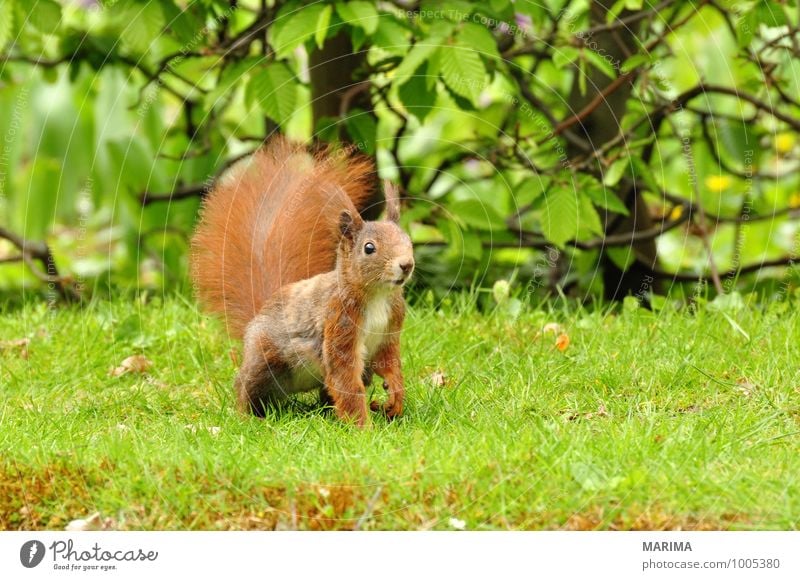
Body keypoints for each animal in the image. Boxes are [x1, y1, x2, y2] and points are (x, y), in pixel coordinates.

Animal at [188, 137, 412, 426]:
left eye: (408, 240)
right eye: (369, 248)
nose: (406, 264)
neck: (377, 295)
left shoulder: (390, 327)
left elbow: (389, 362)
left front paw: (395, 398)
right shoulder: (338, 323)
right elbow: (345, 381)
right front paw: (363, 427)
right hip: (265, 359)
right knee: (246, 386)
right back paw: (249, 417)